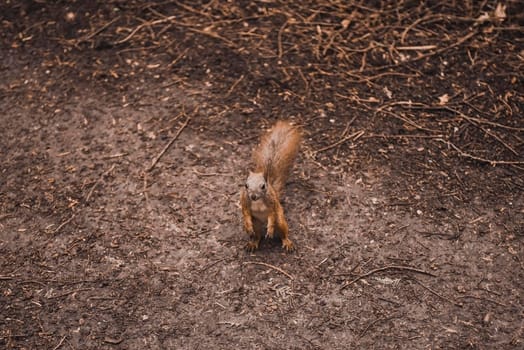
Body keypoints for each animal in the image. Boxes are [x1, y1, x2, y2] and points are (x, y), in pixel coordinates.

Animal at [239, 120, 300, 252]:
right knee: (257, 235)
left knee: (283, 232)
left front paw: (271, 229)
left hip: (280, 220)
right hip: (256, 223)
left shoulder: (272, 203)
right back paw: (253, 242)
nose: (253, 196)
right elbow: (245, 212)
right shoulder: (245, 200)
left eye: (263, 186)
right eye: (246, 185)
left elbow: (271, 213)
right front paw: (247, 226)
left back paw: (286, 241)